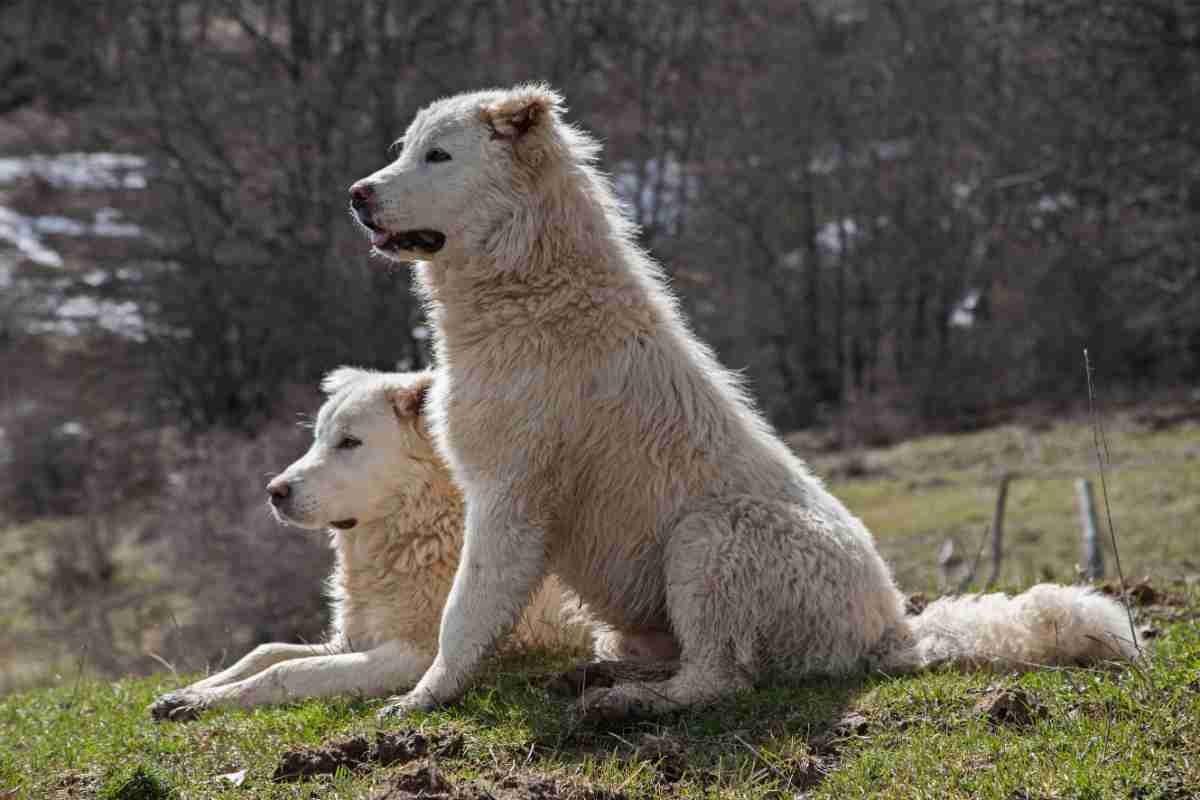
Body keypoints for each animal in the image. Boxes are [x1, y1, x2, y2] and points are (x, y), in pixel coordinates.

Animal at [152, 369, 583, 719]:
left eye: (349, 443)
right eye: (318, 438)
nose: (274, 492)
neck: (418, 534)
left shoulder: (414, 654)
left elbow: (285, 670)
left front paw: (204, 702)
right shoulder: (353, 639)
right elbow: (266, 651)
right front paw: (190, 692)